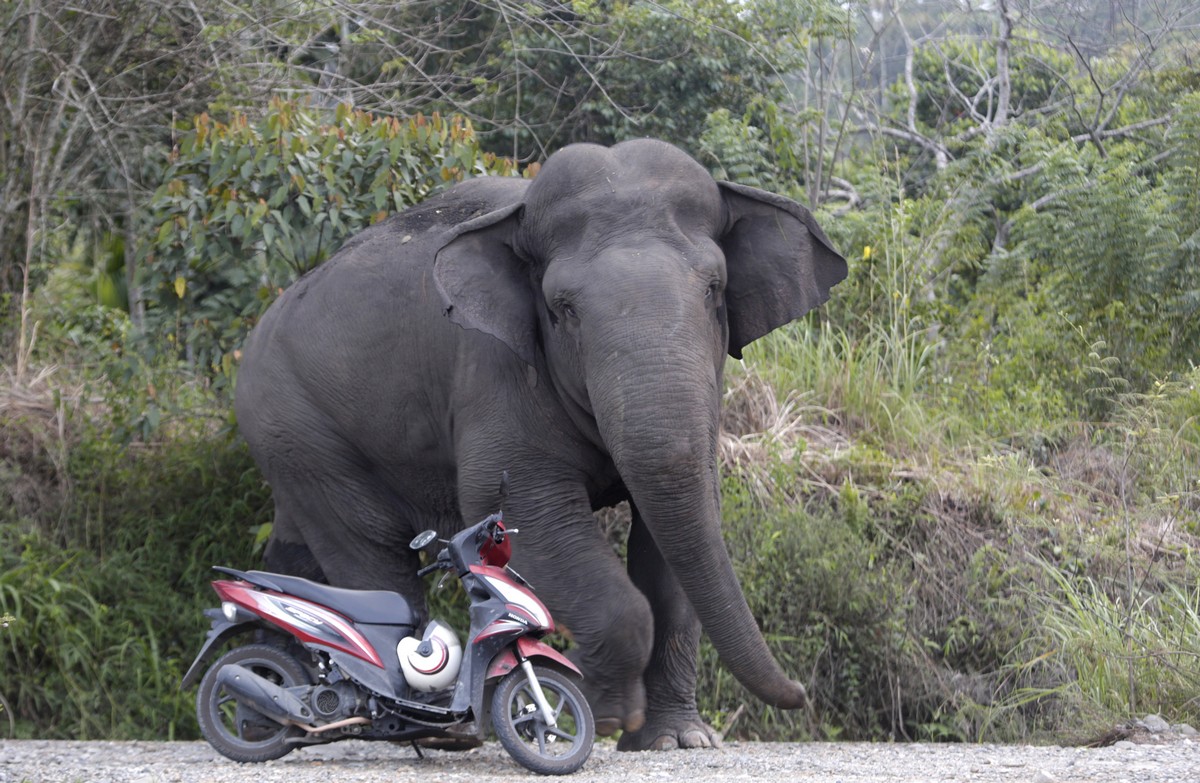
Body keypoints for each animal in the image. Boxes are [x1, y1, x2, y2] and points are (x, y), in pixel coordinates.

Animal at [234, 137, 849, 749]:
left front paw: (675, 740)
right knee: (372, 561)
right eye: (562, 309)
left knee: (301, 554)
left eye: (714, 290)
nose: (800, 693)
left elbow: (674, 529)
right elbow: (522, 509)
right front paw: (604, 716)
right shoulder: (493, 372)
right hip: (300, 433)